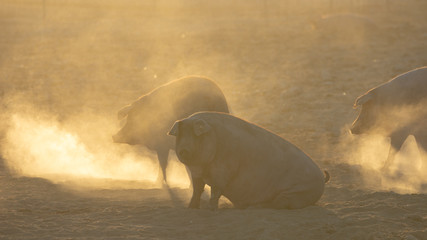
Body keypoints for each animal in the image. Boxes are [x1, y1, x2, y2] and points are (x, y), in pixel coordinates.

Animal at [167, 111, 328, 209]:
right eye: (181, 134)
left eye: (195, 135)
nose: (184, 150)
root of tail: (322, 177)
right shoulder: (197, 174)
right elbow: (197, 189)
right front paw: (190, 208)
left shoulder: (223, 171)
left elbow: (215, 191)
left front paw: (211, 210)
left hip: (297, 192)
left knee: (279, 203)